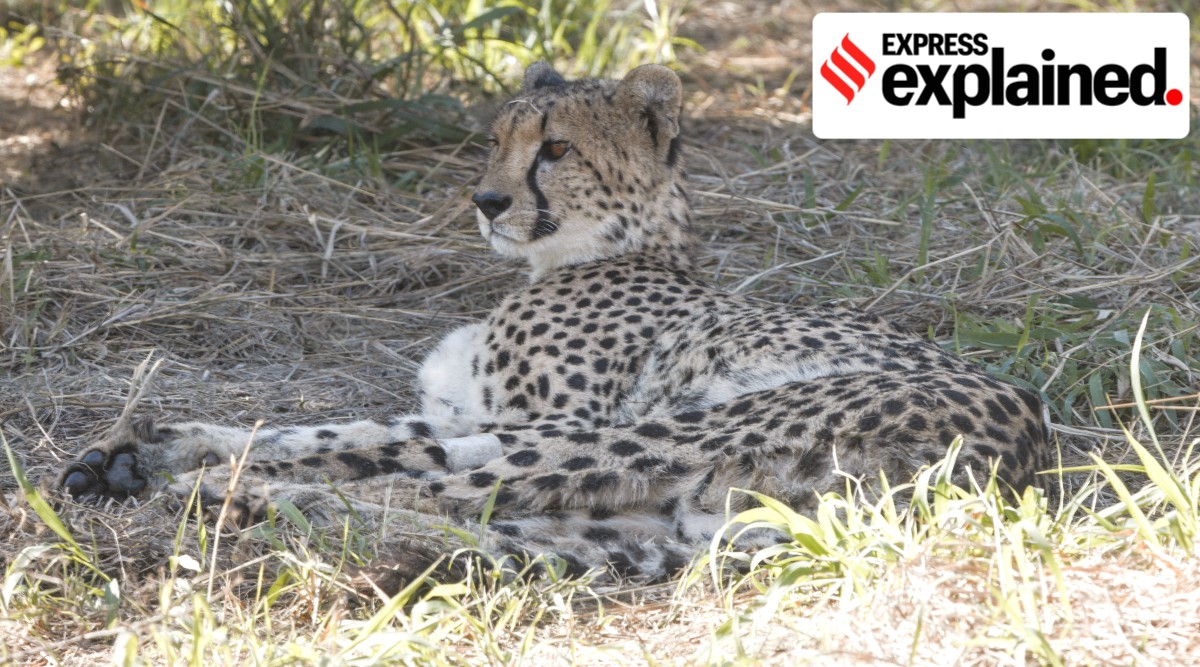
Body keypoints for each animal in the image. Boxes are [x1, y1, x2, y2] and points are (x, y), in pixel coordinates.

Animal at [60, 63, 1050, 583]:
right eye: (494, 141)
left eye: (558, 149)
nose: (488, 201)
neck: (588, 253)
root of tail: (1026, 455)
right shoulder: (468, 413)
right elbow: (345, 430)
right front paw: (155, 441)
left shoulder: (546, 417)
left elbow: (389, 450)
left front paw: (191, 459)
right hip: (666, 525)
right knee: (483, 515)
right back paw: (233, 490)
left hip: (673, 433)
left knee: (452, 493)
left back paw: (230, 496)